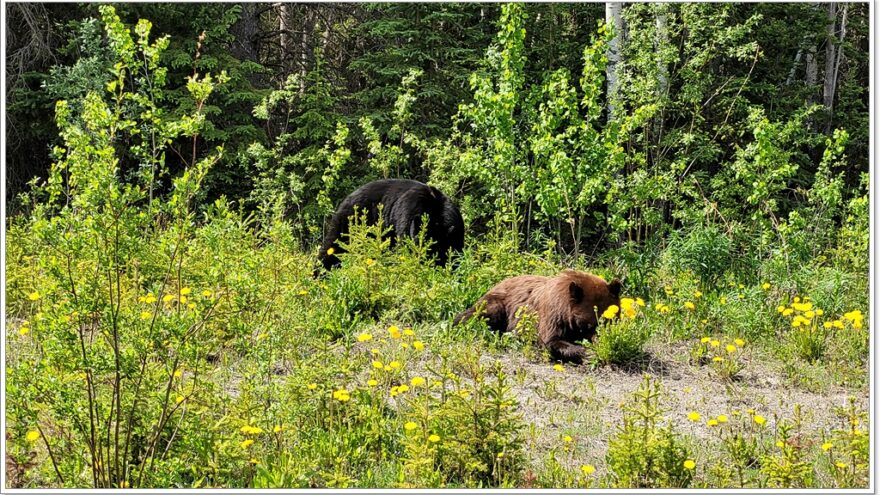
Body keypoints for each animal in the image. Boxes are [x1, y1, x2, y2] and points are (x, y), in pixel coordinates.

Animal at [318, 179, 468, 272]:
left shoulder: (457, 234)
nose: (424, 263)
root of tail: (347, 197)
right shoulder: (406, 220)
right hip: (350, 222)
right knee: (332, 245)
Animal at [454, 272, 620, 364]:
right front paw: (587, 353)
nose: (601, 342)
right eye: (589, 324)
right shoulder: (552, 315)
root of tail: (499, 283)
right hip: (499, 304)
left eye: (609, 321)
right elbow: (550, 341)